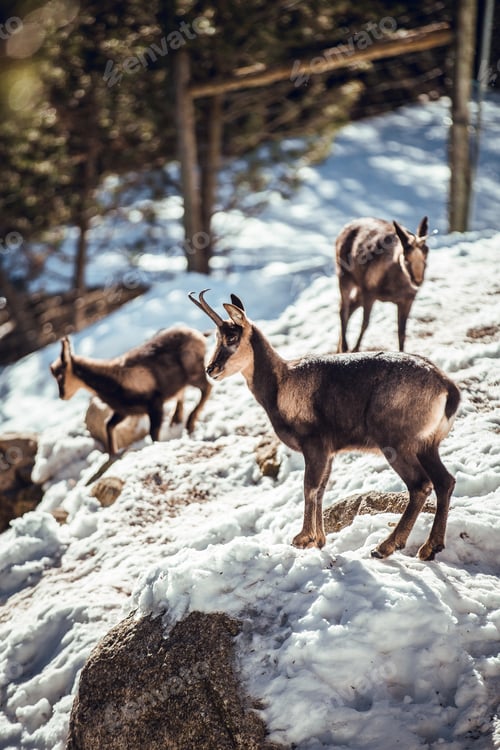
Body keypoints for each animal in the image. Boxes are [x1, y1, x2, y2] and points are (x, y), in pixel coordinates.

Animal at [50, 327, 212, 454]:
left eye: (61, 375)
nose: (62, 395)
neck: (114, 379)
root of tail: (198, 334)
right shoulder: (124, 411)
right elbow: (108, 425)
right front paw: (113, 453)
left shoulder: (154, 404)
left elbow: (153, 433)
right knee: (183, 392)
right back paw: (176, 418)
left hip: (194, 372)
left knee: (207, 388)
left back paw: (190, 423)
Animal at [189, 289, 460, 561]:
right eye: (216, 337)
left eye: (231, 336)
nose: (211, 369)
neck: (281, 383)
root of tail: (446, 386)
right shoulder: (329, 452)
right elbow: (321, 488)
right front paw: (318, 539)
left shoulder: (315, 444)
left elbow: (309, 487)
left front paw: (303, 538)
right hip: (427, 445)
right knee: (444, 481)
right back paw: (430, 547)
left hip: (396, 444)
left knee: (420, 485)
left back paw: (385, 547)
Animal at [336, 216, 429, 352]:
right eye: (406, 259)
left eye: (426, 256)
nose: (417, 281)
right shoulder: (369, 292)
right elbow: (365, 323)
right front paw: (355, 349)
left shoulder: (408, 300)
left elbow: (402, 332)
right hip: (344, 275)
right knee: (343, 308)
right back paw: (344, 346)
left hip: (359, 287)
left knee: (351, 306)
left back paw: (339, 348)